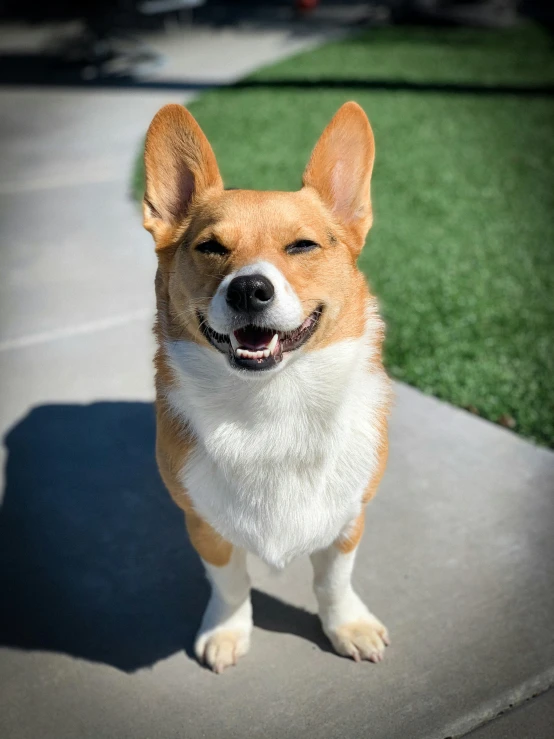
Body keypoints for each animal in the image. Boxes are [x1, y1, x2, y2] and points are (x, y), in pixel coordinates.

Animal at [142, 101, 390, 672]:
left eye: (302, 245)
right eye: (210, 248)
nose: (249, 289)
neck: (271, 401)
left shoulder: (349, 519)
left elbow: (333, 582)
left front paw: (348, 626)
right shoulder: (205, 526)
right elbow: (231, 583)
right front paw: (227, 631)